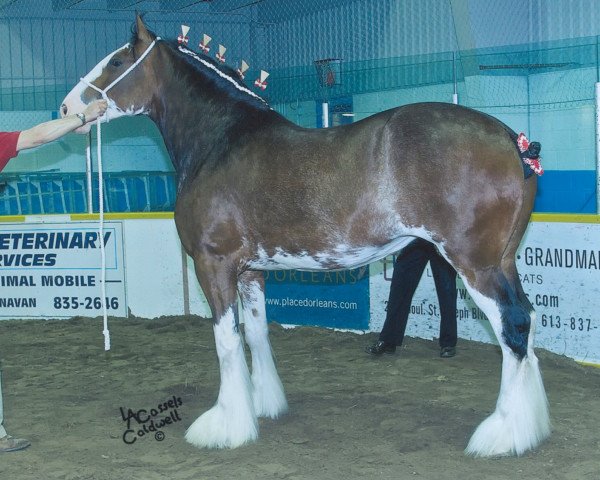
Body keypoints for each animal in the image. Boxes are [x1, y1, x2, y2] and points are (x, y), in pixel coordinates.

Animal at [59, 15, 548, 458]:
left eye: (117, 61)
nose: (65, 109)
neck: (221, 140)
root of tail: (512, 140)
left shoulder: (213, 264)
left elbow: (226, 341)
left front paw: (226, 426)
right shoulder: (250, 271)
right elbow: (256, 334)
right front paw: (262, 406)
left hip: (476, 265)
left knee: (513, 327)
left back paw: (501, 434)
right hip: (503, 261)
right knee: (526, 320)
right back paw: (529, 428)